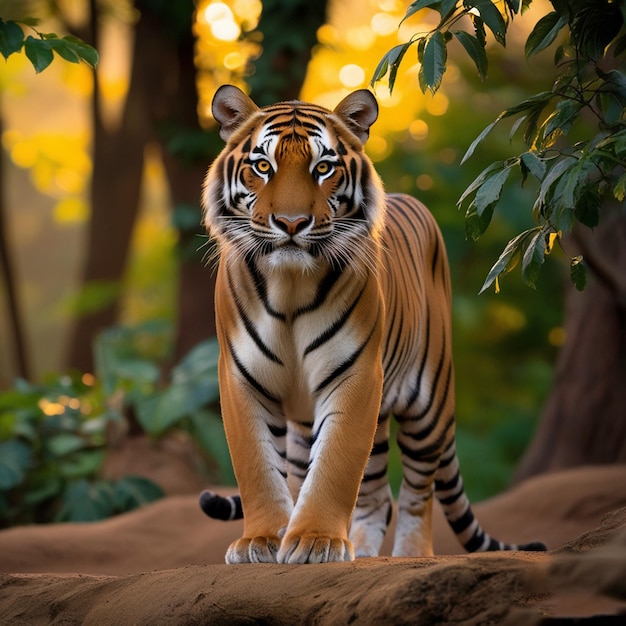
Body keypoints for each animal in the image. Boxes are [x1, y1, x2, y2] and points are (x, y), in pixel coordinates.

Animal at [199, 83, 540, 560]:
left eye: (323, 167)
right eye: (262, 166)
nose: (290, 223)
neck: (289, 286)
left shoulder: (356, 375)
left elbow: (336, 467)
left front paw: (316, 541)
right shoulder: (241, 378)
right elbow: (258, 468)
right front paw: (263, 540)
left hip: (427, 408)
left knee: (416, 493)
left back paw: (410, 556)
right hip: (326, 428)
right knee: (372, 495)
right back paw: (356, 550)